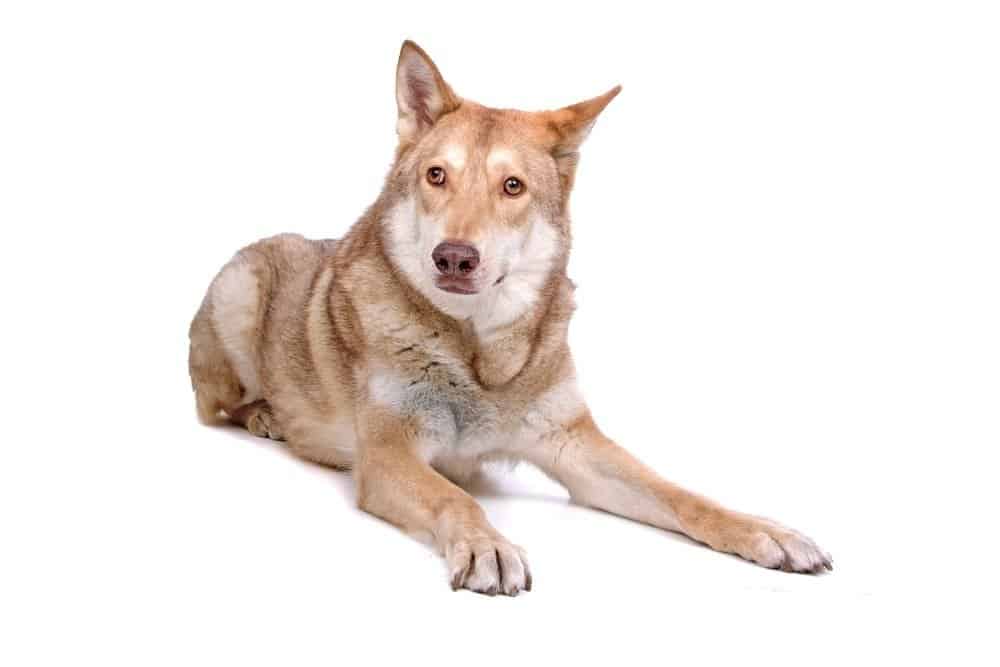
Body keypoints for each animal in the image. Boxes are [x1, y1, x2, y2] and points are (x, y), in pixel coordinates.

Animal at [188, 40, 828, 596]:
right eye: (436, 175)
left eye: (512, 187)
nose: (453, 256)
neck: (478, 355)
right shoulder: (389, 455)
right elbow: (457, 497)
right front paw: (487, 546)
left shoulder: (575, 445)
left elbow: (680, 494)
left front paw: (765, 531)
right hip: (240, 295)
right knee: (215, 405)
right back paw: (266, 415)